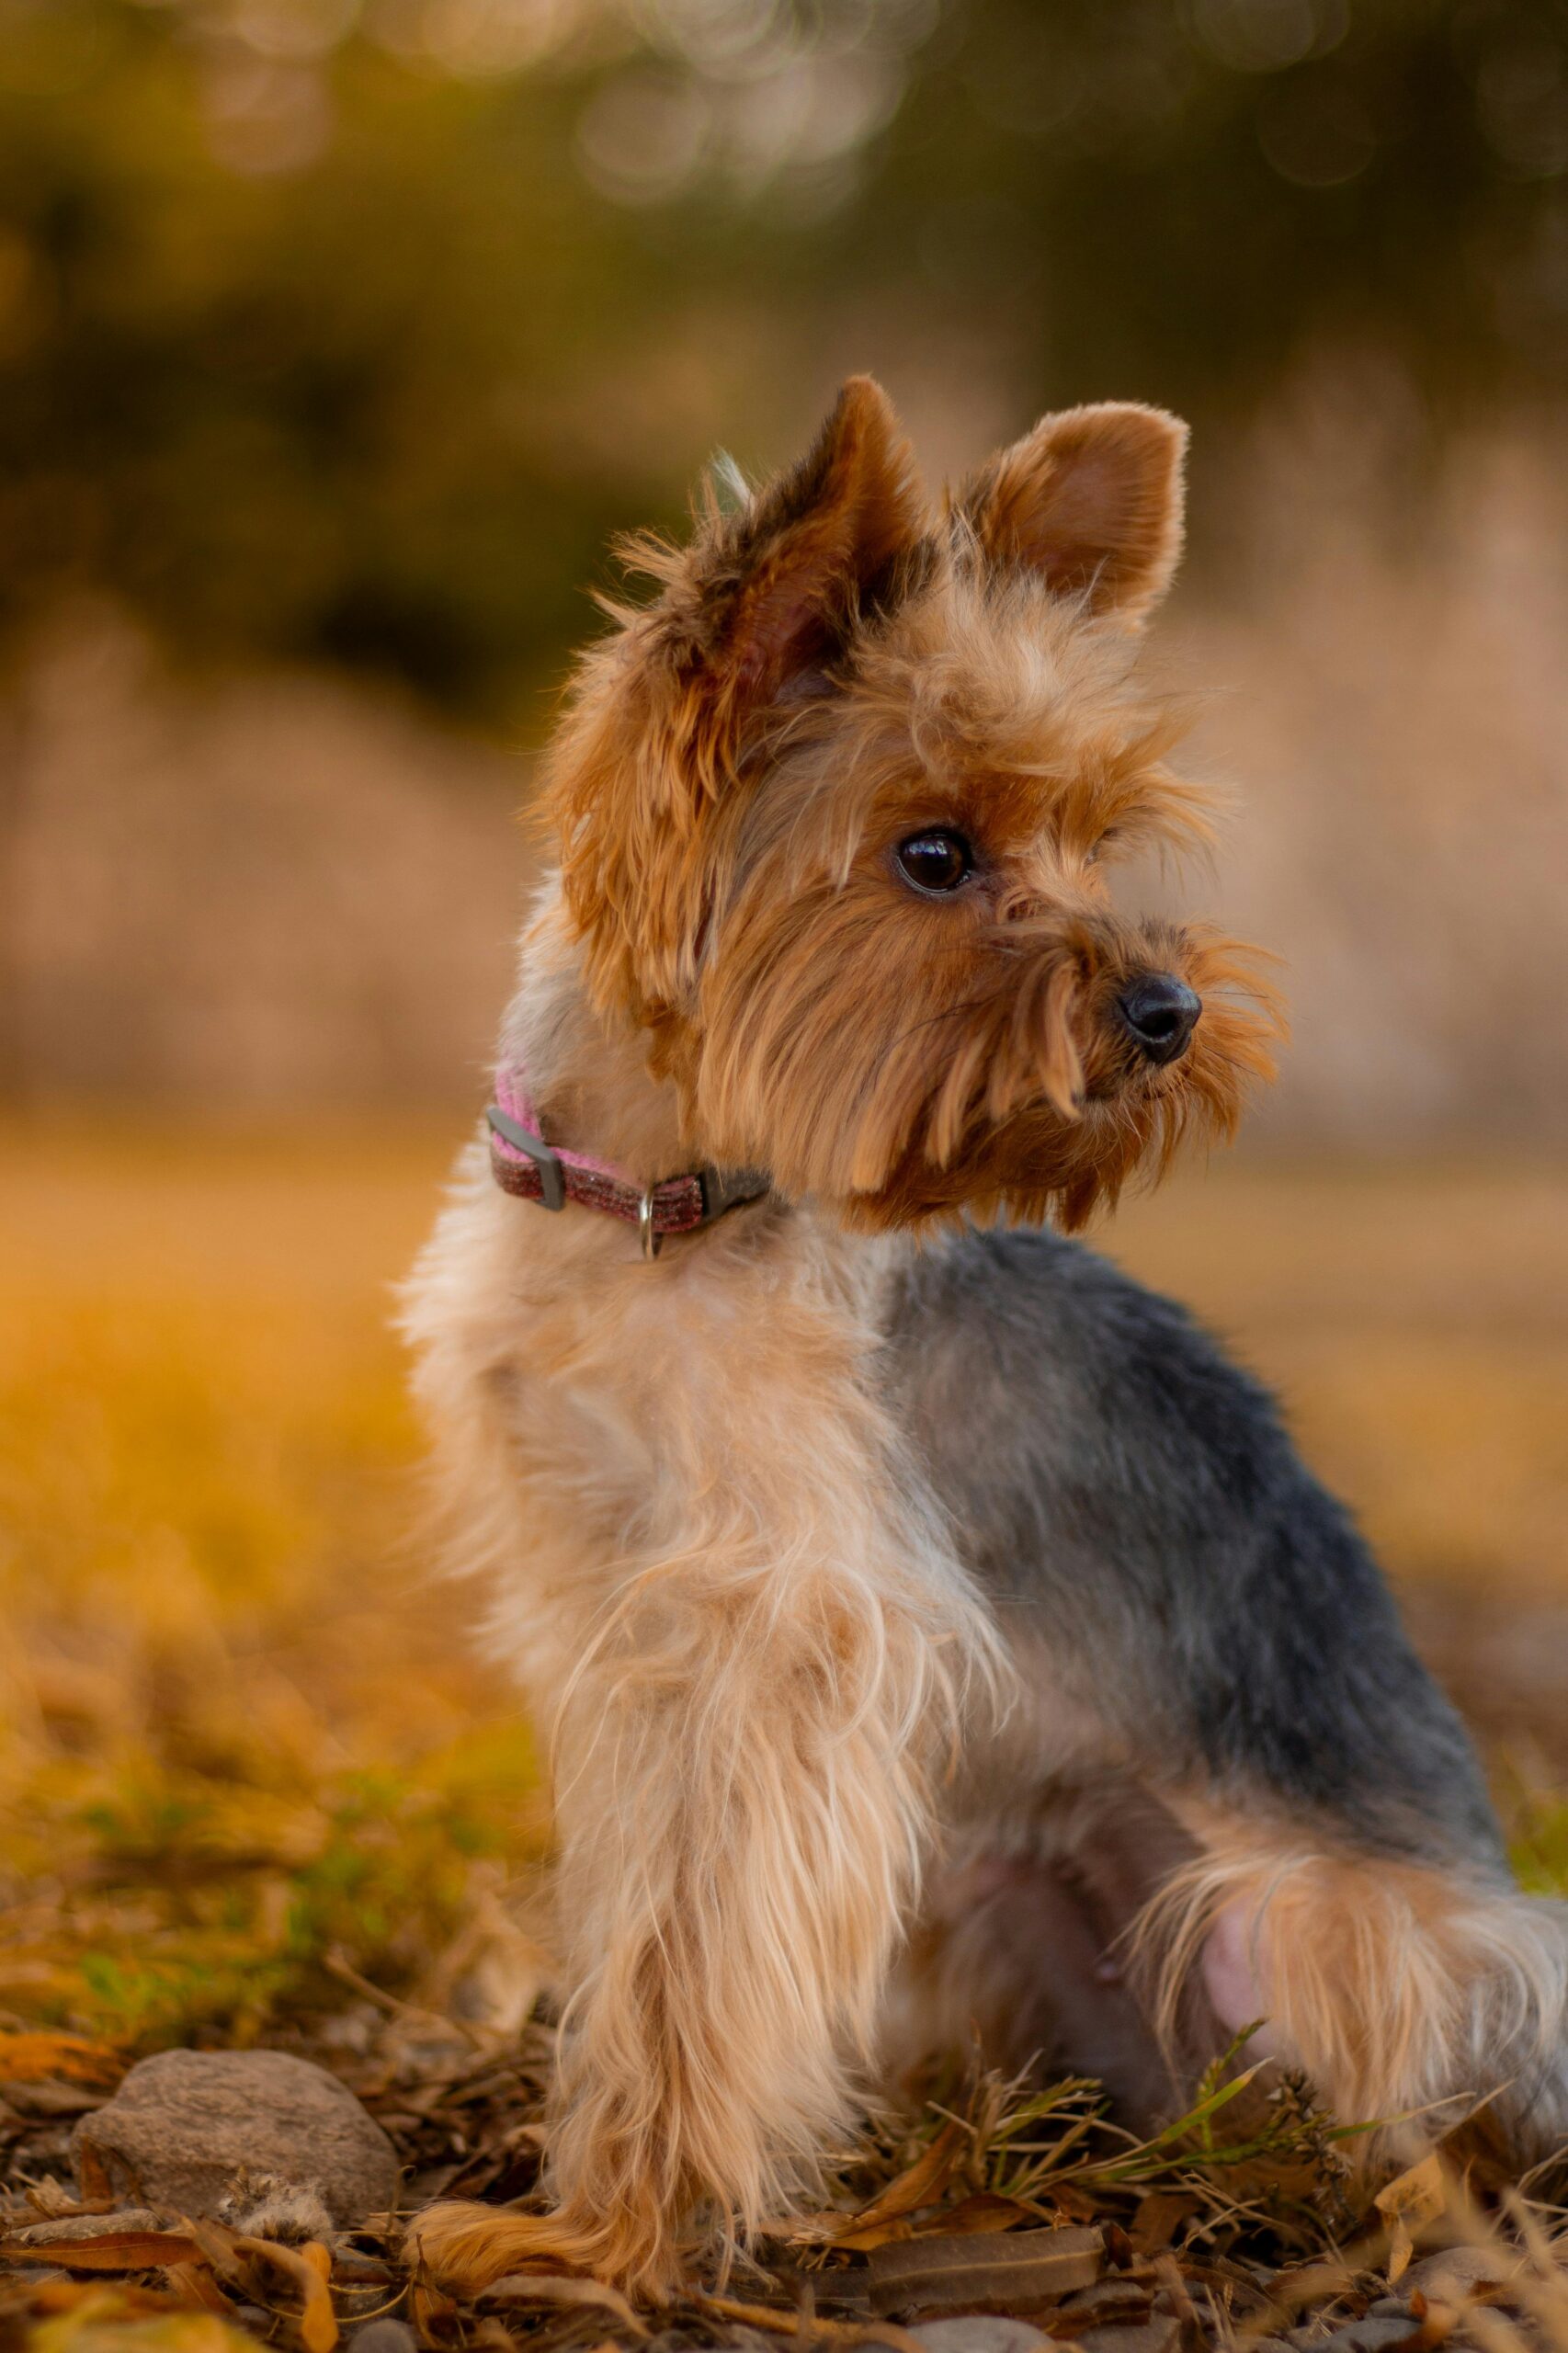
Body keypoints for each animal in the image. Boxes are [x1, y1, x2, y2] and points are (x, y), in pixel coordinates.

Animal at [392, 381, 1562, 2296]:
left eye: (1099, 838)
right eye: (932, 856)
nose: (1169, 1012)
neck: (659, 1205)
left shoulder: (777, 1631)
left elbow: (699, 1947)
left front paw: (628, 2232)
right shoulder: (613, 1612)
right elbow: (649, 1919)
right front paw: (603, 2190)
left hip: (1312, 1926)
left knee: (1435, 2099)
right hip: (989, 1897)